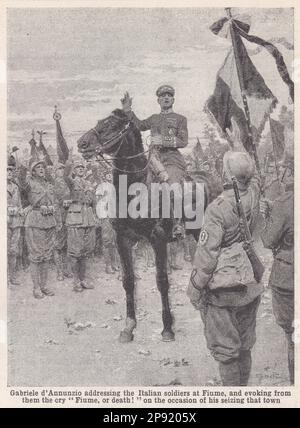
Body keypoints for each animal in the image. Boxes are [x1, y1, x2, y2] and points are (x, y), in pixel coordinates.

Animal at [78, 109, 211, 344]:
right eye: (99, 122)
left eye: (111, 125)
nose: (82, 143)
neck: (135, 190)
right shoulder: (123, 239)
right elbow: (128, 281)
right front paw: (129, 326)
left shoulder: (158, 239)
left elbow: (162, 281)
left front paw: (167, 328)